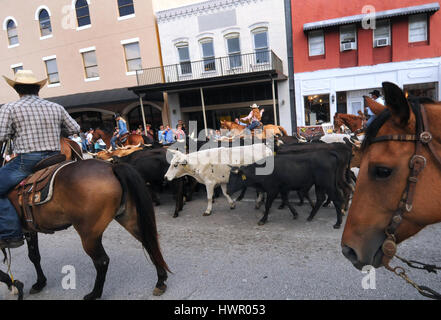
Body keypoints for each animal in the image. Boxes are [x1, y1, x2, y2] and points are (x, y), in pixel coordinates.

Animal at [0, 160, 168, 300]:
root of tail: (111, 167)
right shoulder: (29, 230)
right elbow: (34, 256)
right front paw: (39, 283)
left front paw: (13, 285)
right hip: (128, 219)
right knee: (149, 244)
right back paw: (160, 281)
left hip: (89, 235)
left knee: (102, 261)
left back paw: (94, 294)